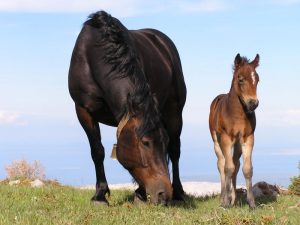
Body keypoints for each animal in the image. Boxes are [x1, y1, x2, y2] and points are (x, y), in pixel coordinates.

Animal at [68, 10, 186, 204]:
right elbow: (97, 151)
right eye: (145, 142)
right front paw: (100, 195)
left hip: (175, 112)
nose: (163, 194)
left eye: (163, 141)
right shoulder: (83, 110)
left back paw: (178, 192)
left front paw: (140, 192)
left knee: (175, 151)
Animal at [209, 53, 260, 208]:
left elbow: (247, 169)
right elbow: (228, 168)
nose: (253, 103)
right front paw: (225, 202)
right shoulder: (226, 138)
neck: (237, 113)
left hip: (237, 144)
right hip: (217, 142)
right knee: (222, 164)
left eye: (257, 79)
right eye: (241, 79)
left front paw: (251, 203)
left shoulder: (248, 138)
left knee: (236, 164)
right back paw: (223, 198)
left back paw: (233, 198)